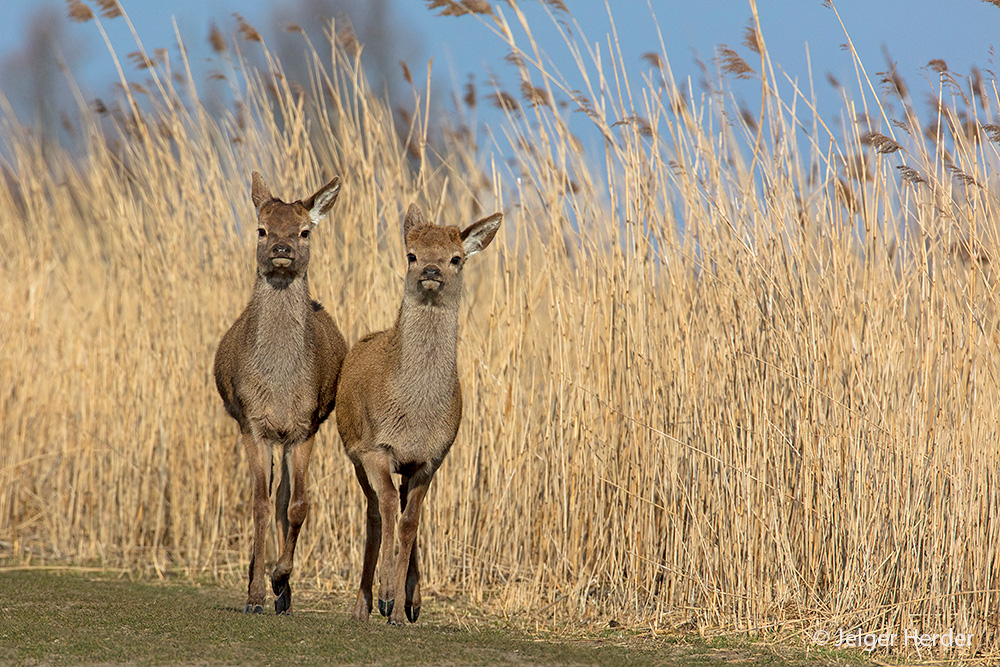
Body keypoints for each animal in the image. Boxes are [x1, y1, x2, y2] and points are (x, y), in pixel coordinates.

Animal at [214, 171, 348, 616]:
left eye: (305, 230)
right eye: (261, 228)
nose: (282, 249)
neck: (278, 387)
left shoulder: (304, 427)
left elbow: (298, 504)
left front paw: (280, 578)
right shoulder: (253, 423)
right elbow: (256, 503)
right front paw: (255, 594)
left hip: (288, 438)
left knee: (284, 499)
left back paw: (284, 595)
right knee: (265, 498)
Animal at [336, 204, 504, 628]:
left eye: (456, 258)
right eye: (411, 254)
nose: (430, 270)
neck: (414, 417)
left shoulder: (432, 458)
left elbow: (411, 521)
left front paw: (399, 607)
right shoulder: (375, 447)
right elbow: (388, 511)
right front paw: (384, 597)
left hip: (407, 467)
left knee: (404, 513)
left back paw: (410, 602)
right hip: (355, 453)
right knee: (374, 513)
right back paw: (362, 605)